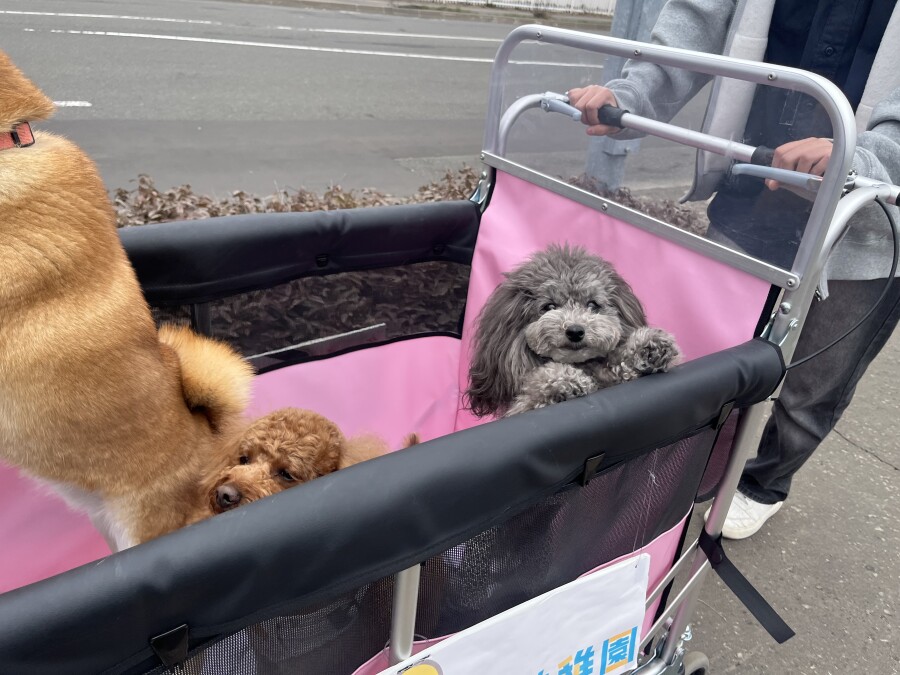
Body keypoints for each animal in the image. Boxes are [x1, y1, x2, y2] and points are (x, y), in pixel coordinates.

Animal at [466, 243, 680, 417]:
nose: (575, 331)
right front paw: (562, 382)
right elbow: (534, 392)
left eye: (592, 304)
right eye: (549, 306)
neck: (579, 365)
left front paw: (649, 347)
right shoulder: (520, 408)